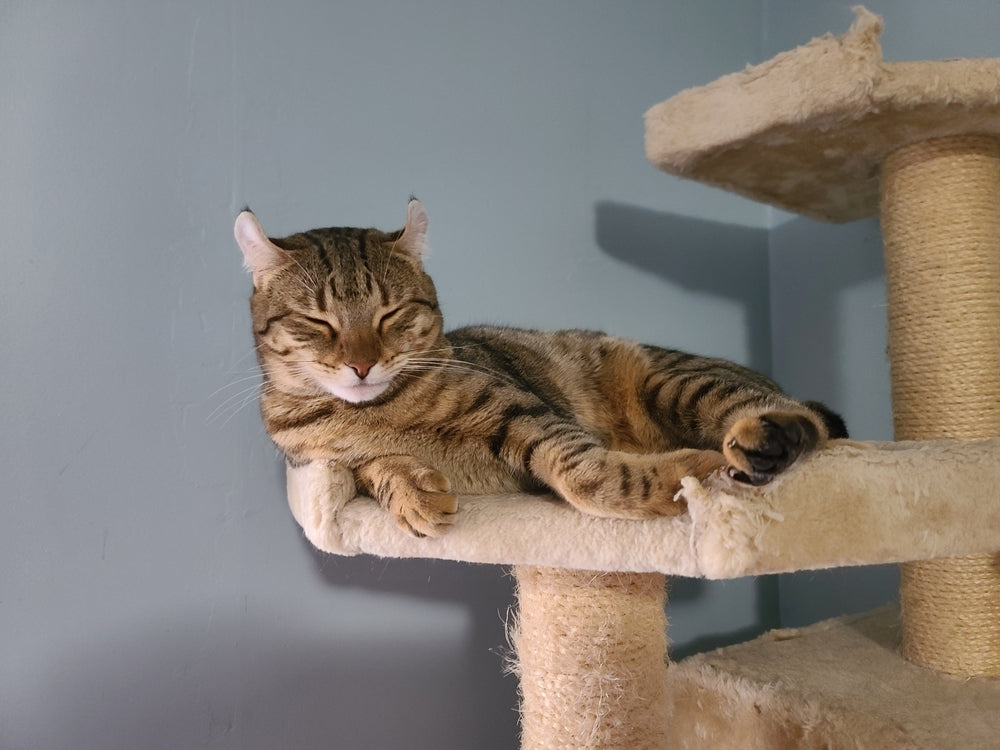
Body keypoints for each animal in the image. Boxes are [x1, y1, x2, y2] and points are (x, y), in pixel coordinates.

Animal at [234, 201, 844, 540]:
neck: (380, 413)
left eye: (391, 314)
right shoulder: (323, 466)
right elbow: (371, 469)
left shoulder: (522, 412)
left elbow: (588, 476)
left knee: (800, 419)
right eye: (318, 321)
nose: (361, 365)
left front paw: (682, 475)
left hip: (677, 383)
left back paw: (764, 442)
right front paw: (412, 494)